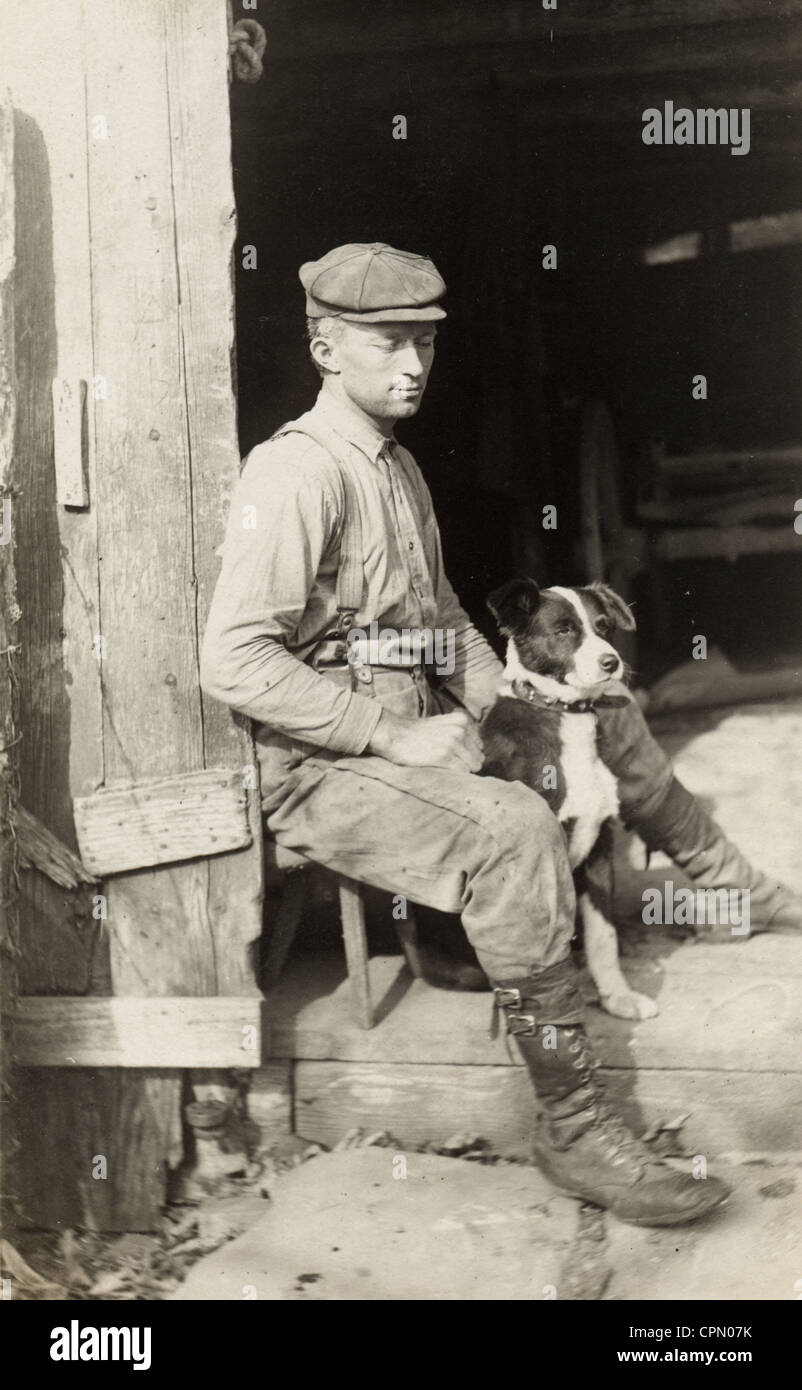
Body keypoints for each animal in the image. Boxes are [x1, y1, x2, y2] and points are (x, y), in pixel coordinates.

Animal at [480, 575, 656, 1023]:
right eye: (563, 630)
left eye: (604, 625)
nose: (612, 662)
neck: (563, 714)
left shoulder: (600, 843)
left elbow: (603, 935)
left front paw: (618, 997)